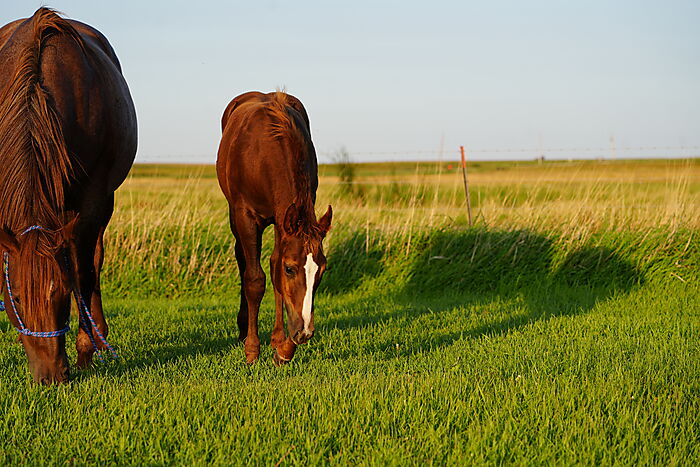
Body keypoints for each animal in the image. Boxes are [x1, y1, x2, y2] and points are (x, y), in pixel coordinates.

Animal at [0, 8, 137, 384]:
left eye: (61, 294)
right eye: (17, 297)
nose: (51, 375)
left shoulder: (90, 203)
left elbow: (83, 273)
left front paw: (85, 351)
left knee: (93, 261)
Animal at [216, 91, 332, 365]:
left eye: (322, 269)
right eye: (291, 269)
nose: (305, 332)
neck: (264, 156)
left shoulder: (285, 220)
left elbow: (275, 271)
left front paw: (282, 347)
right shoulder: (246, 217)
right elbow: (255, 279)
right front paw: (252, 349)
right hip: (235, 217)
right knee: (242, 261)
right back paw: (242, 329)